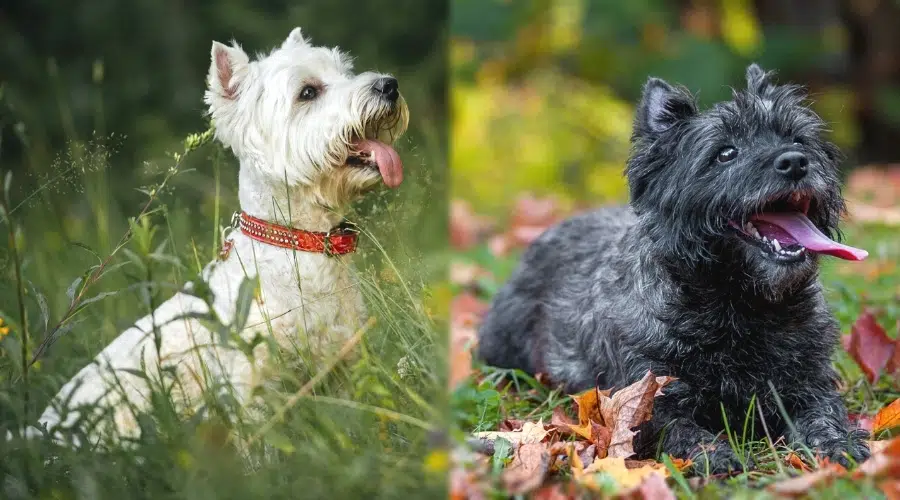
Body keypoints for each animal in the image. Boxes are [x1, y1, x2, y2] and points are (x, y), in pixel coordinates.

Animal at [15, 27, 410, 448]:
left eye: (344, 71)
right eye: (308, 92)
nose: (389, 85)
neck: (298, 243)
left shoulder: (343, 364)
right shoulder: (249, 387)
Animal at [478, 63, 872, 472]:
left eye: (798, 139)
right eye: (725, 153)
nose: (795, 161)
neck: (741, 304)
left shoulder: (810, 384)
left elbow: (823, 415)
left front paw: (836, 443)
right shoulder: (647, 400)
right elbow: (684, 431)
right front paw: (716, 454)